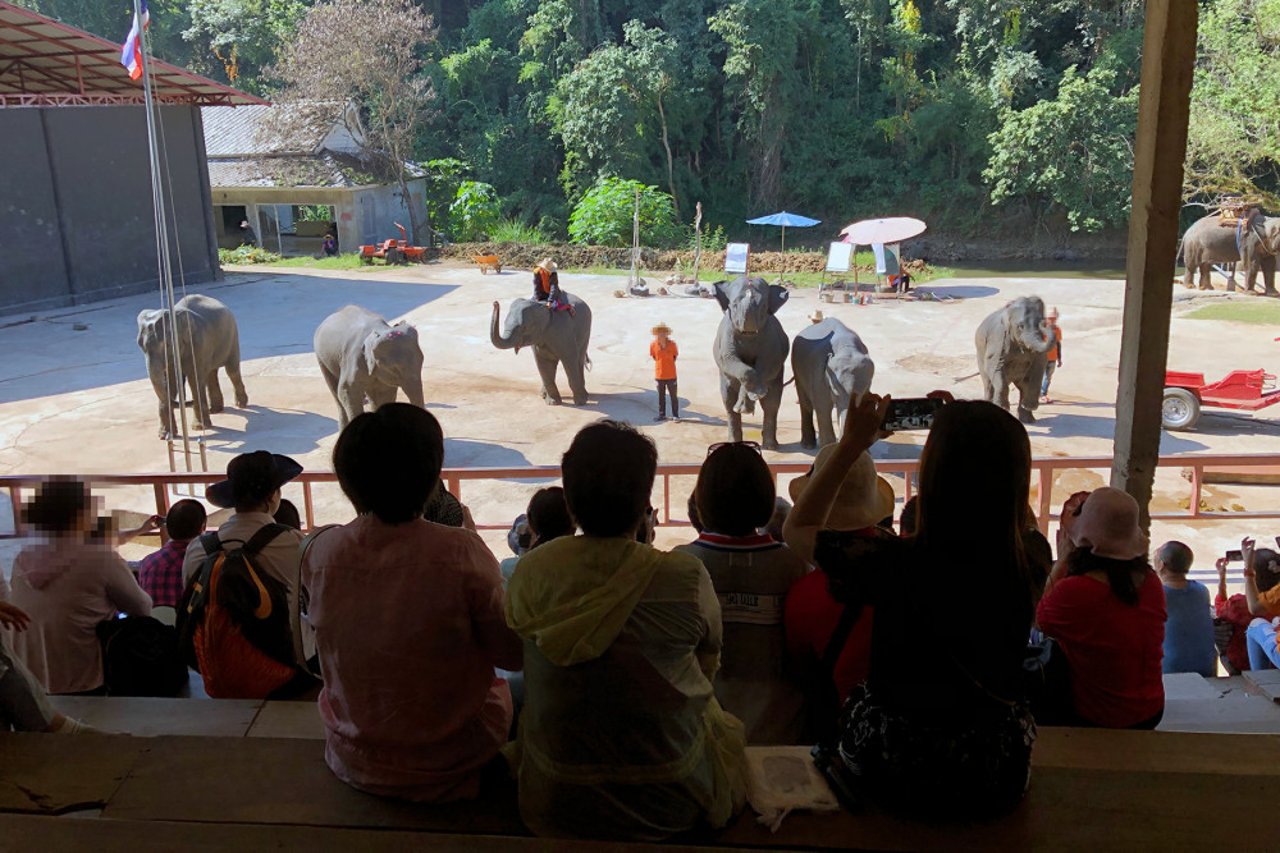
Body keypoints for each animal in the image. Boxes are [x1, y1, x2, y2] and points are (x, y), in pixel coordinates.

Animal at [711, 275, 788, 448]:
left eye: (764, 306)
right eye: (733, 305)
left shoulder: (771, 338)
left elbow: (769, 362)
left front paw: (756, 395)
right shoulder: (727, 337)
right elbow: (730, 359)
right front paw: (745, 406)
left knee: (772, 404)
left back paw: (770, 446)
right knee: (727, 401)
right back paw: (734, 440)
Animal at [793, 317, 875, 448]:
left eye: (865, 392)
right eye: (836, 392)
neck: (847, 348)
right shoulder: (819, 371)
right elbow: (822, 407)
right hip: (797, 368)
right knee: (805, 403)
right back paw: (808, 445)